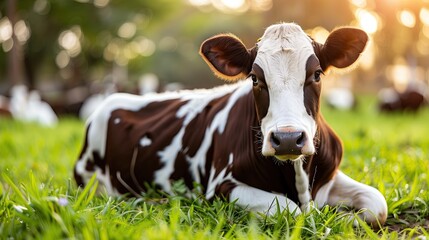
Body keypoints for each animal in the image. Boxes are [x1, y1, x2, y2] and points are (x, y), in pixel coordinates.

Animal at [74, 23, 388, 227]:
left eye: (317, 74)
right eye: (255, 78)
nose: (288, 138)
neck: (296, 178)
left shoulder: (329, 175)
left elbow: (377, 203)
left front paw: (346, 217)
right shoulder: (222, 187)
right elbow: (291, 211)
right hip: (93, 182)